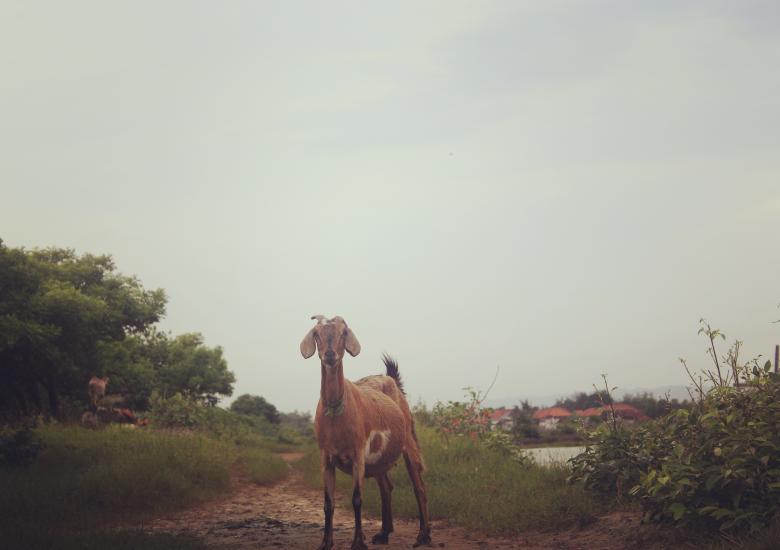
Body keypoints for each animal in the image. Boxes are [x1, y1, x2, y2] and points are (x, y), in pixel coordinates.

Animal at [301, 315, 432, 550]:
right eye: (316, 333)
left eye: (344, 332)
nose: (330, 355)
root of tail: (391, 380)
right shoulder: (326, 457)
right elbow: (328, 503)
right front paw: (326, 543)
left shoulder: (358, 454)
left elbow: (356, 499)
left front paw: (357, 543)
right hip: (379, 460)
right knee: (386, 487)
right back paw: (384, 533)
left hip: (408, 442)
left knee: (419, 488)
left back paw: (423, 536)